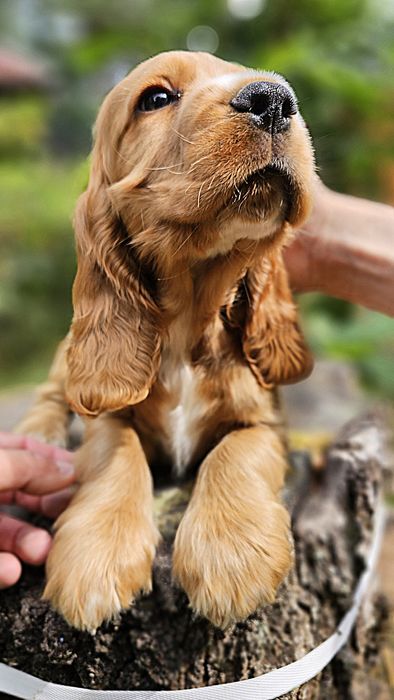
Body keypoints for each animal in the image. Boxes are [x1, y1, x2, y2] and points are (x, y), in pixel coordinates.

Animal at [17, 47, 314, 628]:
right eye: (155, 97)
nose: (273, 98)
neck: (187, 328)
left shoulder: (268, 421)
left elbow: (237, 451)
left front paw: (231, 554)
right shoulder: (106, 412)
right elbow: (116, 452)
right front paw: (96, 556)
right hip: (70, 358)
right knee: (51, 395)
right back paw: (37, 433)